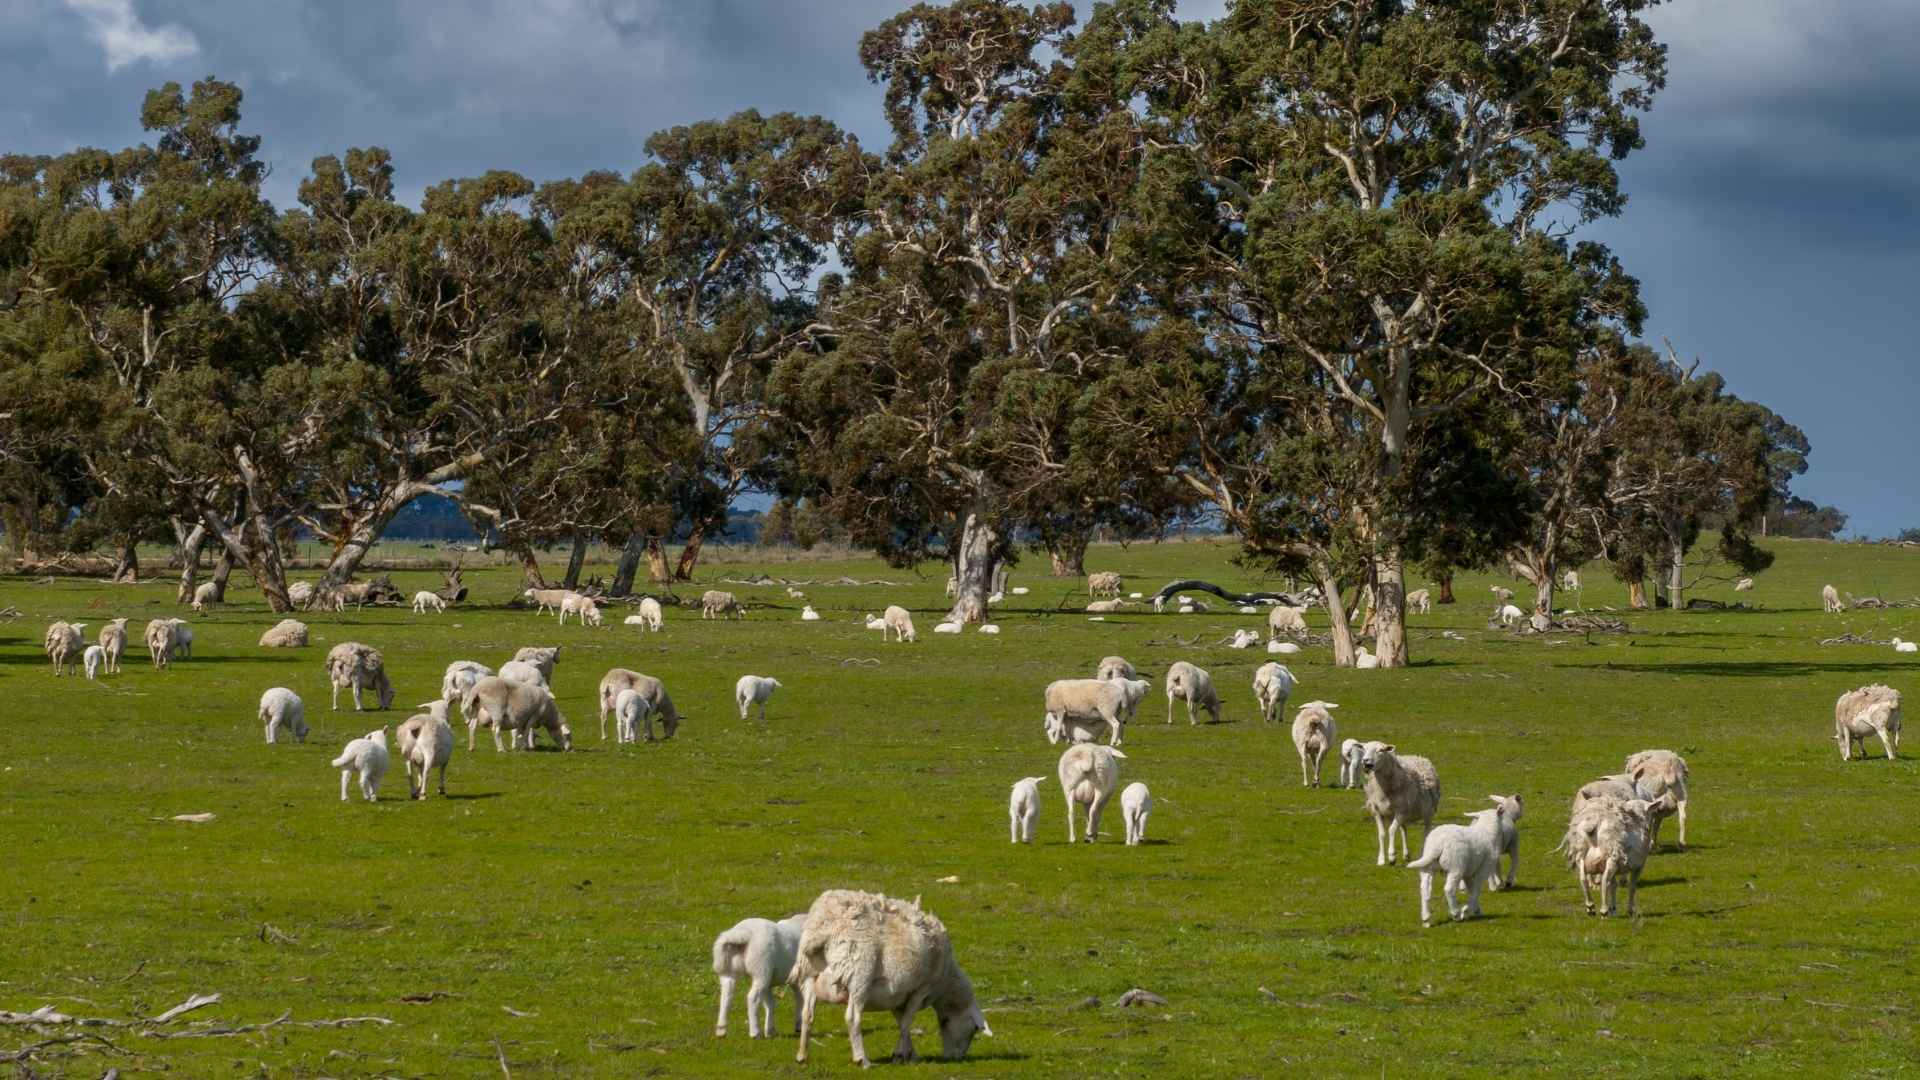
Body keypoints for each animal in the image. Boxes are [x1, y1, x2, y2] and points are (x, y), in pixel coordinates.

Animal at [789, 890, 989, 1066]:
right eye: (974, 1030)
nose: (954, 1058)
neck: (946, 982)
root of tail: (824, 927)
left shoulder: (897, 995)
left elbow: (901, 1022)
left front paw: (910, 1054)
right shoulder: (922, 988)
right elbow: (907, 1022)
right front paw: (900, 1054)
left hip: (809, 973)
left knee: (807, 1013)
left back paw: (802, 1056)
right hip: (859, 973)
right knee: (852, 1017)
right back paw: (862, 1060)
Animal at [1408, 794, 1521, 926]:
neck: (1487, 831)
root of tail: (1438, 844)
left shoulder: (1468, 873)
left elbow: (1471, 890)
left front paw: (1476, 909)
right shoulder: (1483, 869)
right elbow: (1476, 890)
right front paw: (1466, 910)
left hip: (1428, 866)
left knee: (1425, 889)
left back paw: (1426, 918)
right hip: (1456, 866)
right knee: (1449, 889)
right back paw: (1455, 913)